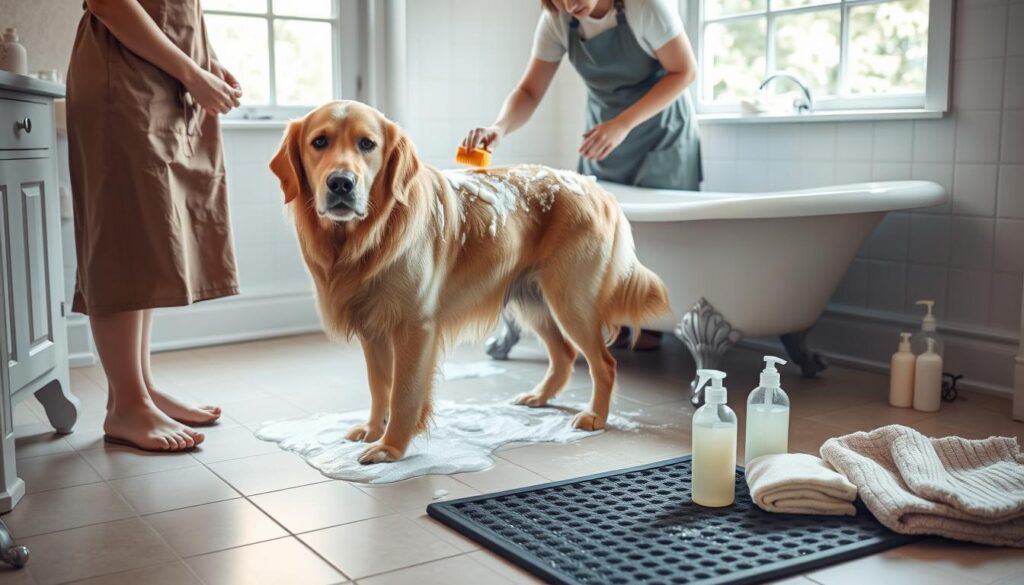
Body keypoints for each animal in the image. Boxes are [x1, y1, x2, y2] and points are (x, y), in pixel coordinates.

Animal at [272, 101, 671, 467]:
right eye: (319, 142)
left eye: (367, 144)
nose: (341, 182)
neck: (370, 235)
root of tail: (595, 188)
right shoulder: (374, 328)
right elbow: (379, 386)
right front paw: (373, 429)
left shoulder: (414, 327)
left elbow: (403, 393)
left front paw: (391, 447)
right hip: (533, 300)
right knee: (564, 355)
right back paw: (539, 397)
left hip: (570, 301)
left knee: (604, 362)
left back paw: (595, 416)